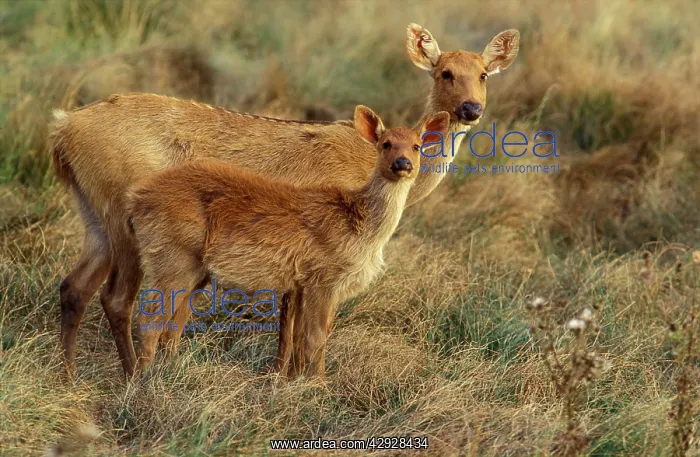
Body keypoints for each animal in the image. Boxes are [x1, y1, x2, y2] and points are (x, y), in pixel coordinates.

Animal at [126, 106, 450, 377]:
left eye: (417, 146)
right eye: (386, 144)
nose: (402, 163)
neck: (360, 228)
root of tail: (137, 198)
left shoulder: (305, 283)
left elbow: (307, 335)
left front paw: (293, 380)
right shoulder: (322, 276)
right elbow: (315, 337)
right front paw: (318, 386)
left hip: (193, 267)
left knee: (171, 321)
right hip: (172, 255)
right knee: (149, 317)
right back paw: (143, 379)